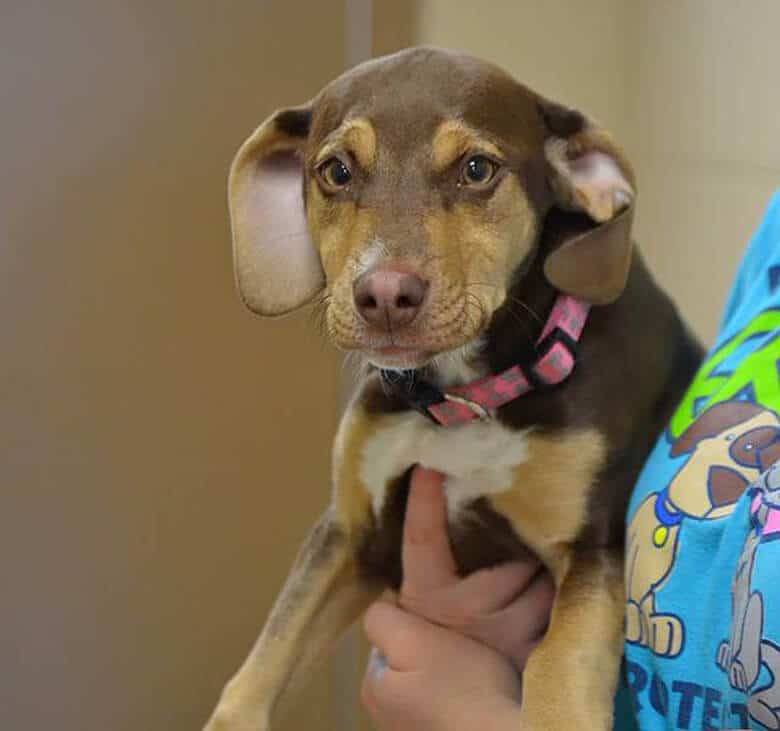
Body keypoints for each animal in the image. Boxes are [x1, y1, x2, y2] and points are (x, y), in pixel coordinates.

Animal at [204, 47, 704, 731]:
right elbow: (266, 657)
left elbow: (556, 663)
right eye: (336, 171)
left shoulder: (590, 550)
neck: (469, 399)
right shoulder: (351, 533)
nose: (385, 296)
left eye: (476, 170)